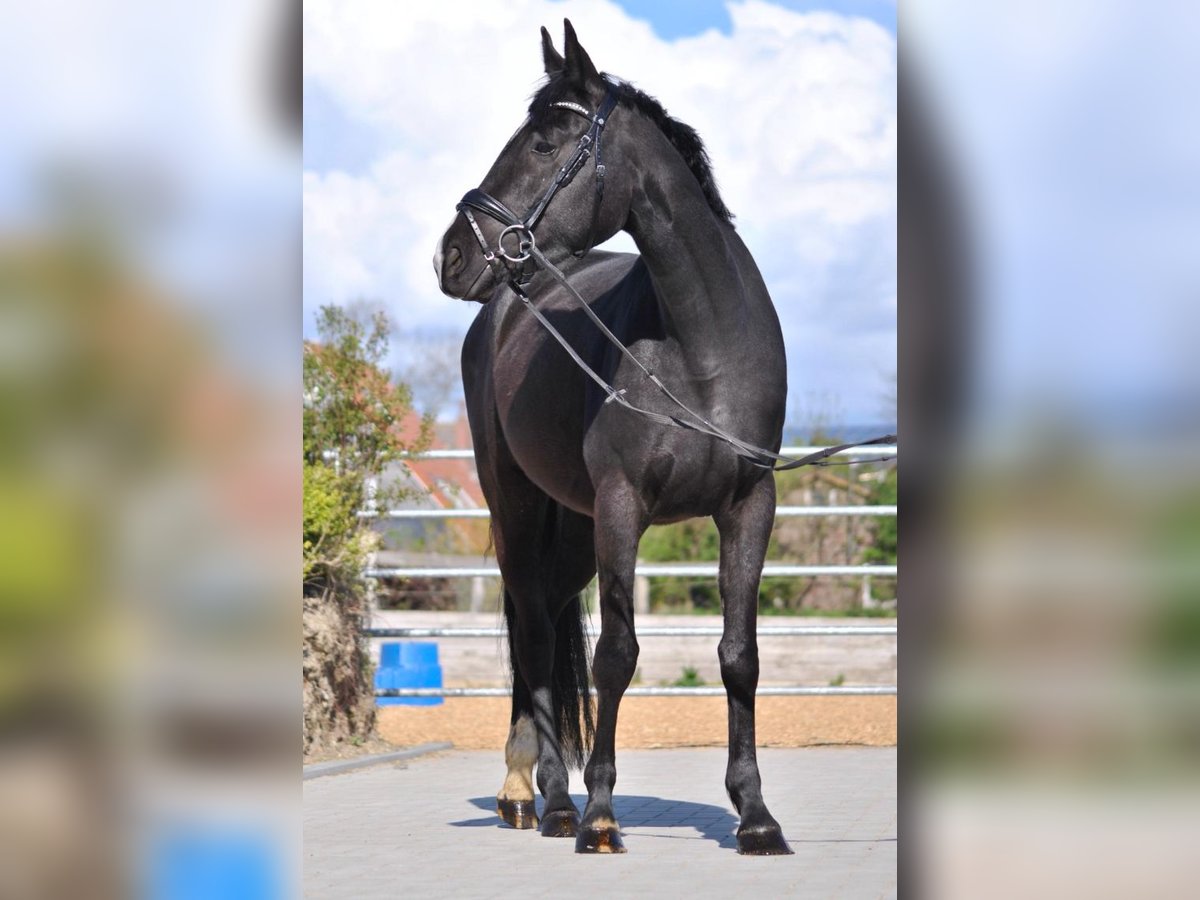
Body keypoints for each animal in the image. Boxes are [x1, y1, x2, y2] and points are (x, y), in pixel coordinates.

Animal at [436, 17, 792, 854]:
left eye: (545, 141)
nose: (453, 254)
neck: (702, 349)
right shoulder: (624, 503)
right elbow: (617, 655)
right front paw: (600, 813)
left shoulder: (749, 505)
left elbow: (739, 656)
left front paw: (756, 815)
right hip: (518, 507)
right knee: (534, 630)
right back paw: (548, 800)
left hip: (572, 522)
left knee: (545, 620)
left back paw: (535, 791)